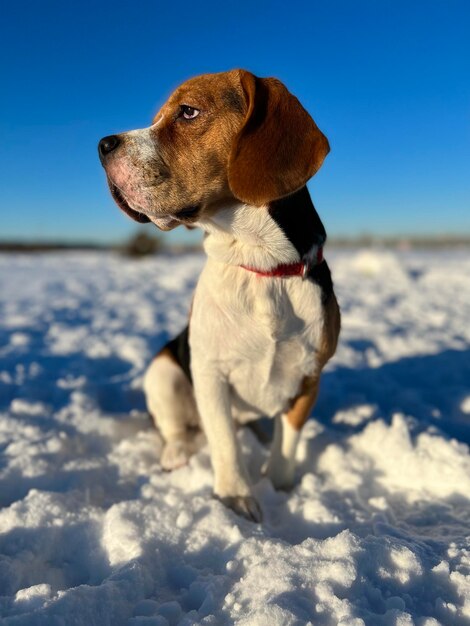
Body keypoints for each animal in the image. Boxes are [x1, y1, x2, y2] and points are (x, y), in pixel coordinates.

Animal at [100, 68, 342, 520]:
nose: (103, 145)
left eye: (188, 112)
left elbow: (287, 445)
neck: (262, 266)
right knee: (176, 428)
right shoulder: (210, 373)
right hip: (163, 371)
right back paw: (177, 453)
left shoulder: (309, 377)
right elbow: (225, 443)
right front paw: (237, 498)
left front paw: (280, 489)